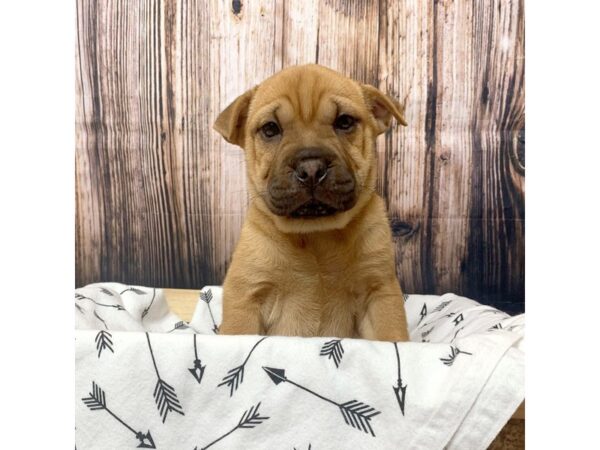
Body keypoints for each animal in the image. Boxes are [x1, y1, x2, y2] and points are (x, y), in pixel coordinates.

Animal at [213, 64, 410, 342]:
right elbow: (239, 331)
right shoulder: (246, 296)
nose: (311, 169)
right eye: (270, 129)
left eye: (345, 122)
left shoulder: (379, 292)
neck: (316, 234)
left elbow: (390, 333)